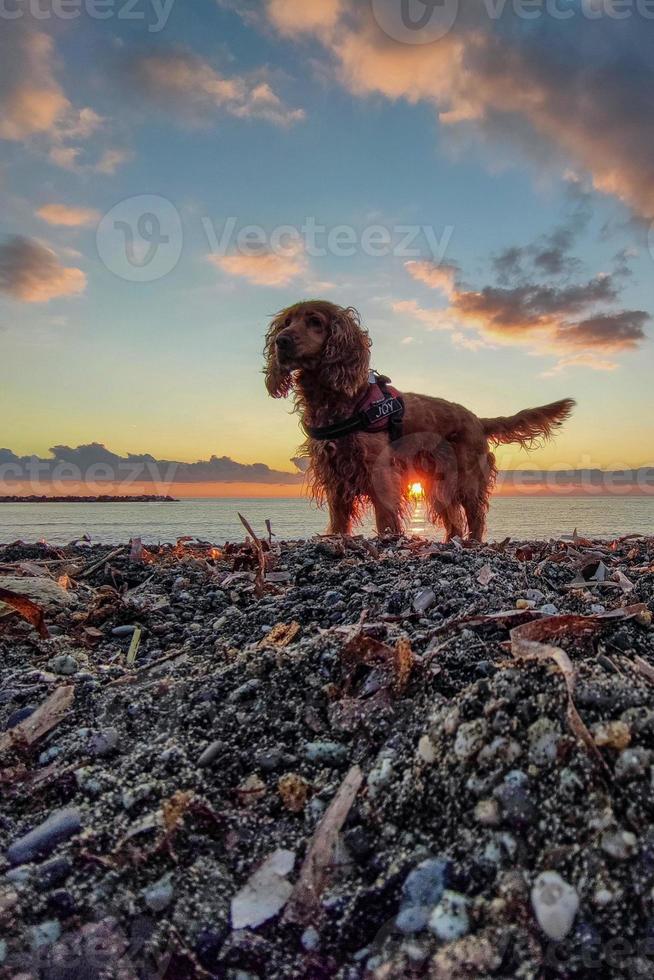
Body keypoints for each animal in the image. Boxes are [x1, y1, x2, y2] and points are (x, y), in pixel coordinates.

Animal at [264, 300, 576, 544]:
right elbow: (339, 518)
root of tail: (477, 419)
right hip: (439, 484)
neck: (342, 400)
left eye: (315, 321)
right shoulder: (334, 473)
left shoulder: (379, 470)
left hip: (467, 479)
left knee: (475, 516)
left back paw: (474, 543)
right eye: (286, 323)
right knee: (454, 520)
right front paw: (338, 539)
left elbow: (386, 518)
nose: (282, 341)